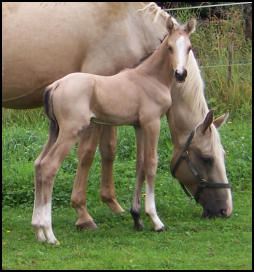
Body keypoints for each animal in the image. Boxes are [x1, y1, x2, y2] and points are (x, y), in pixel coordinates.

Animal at [32, 17, 196, 244]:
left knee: (39, 164)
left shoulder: (139, 125)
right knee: (49, 166)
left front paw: (137, 218)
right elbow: (152, 164)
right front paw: (156, 220)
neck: (150, 78)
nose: (181, 74)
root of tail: (55, 85)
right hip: (70, 131)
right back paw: (50, 234)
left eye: (189, 47)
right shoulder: (152, 123)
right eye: (170, 47)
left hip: (54, 131)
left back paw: (38, 230)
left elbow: (140, 165)